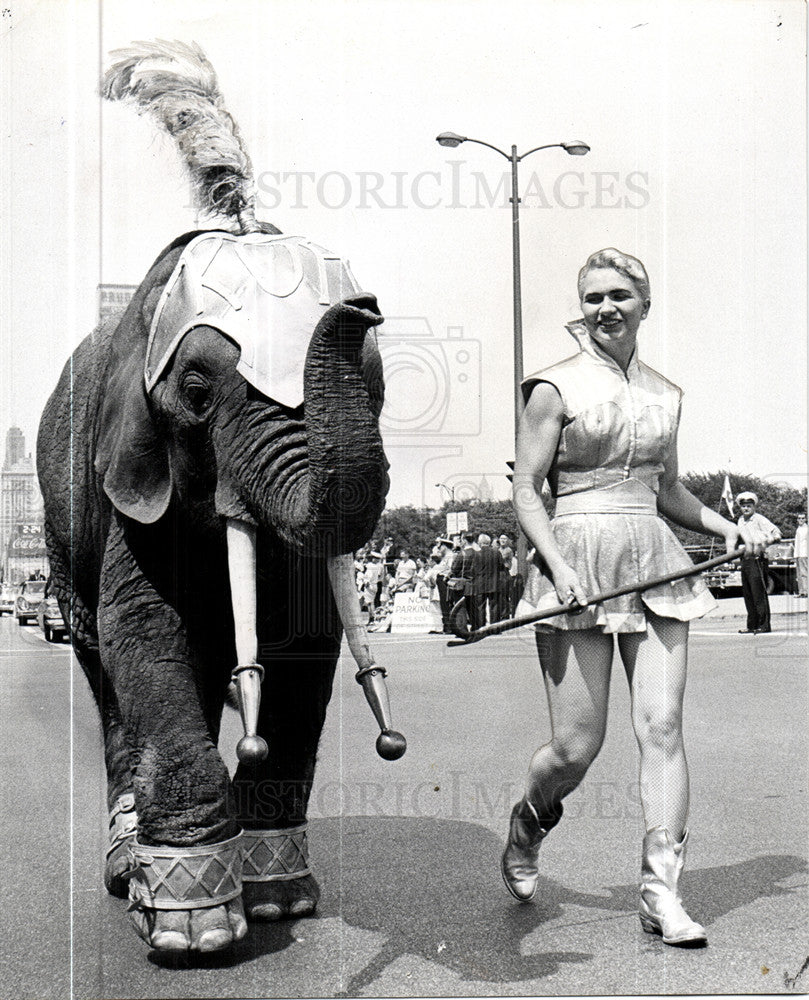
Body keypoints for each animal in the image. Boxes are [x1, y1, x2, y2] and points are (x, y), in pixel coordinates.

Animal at [35, 43, 400, 956]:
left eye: (376, 387)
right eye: (197, 391)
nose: (362, 304)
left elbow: (304, 644)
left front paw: (276, 902)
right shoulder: (126, 474)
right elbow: (146, 629)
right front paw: (193, 929)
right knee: (107, 673)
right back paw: (128, 866)